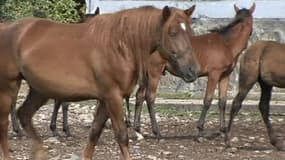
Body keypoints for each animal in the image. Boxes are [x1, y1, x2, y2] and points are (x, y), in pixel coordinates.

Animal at [130, 3, 254, 139]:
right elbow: (207, 100)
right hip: (154, 73)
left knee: (140, 96)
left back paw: (138, 131)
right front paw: (200, 130)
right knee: (150, 97)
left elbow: (222, 101)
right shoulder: (214, 74)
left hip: (146, 75)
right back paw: (156, 132)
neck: (226, 44)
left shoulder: (224, 76)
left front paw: (222, 130)